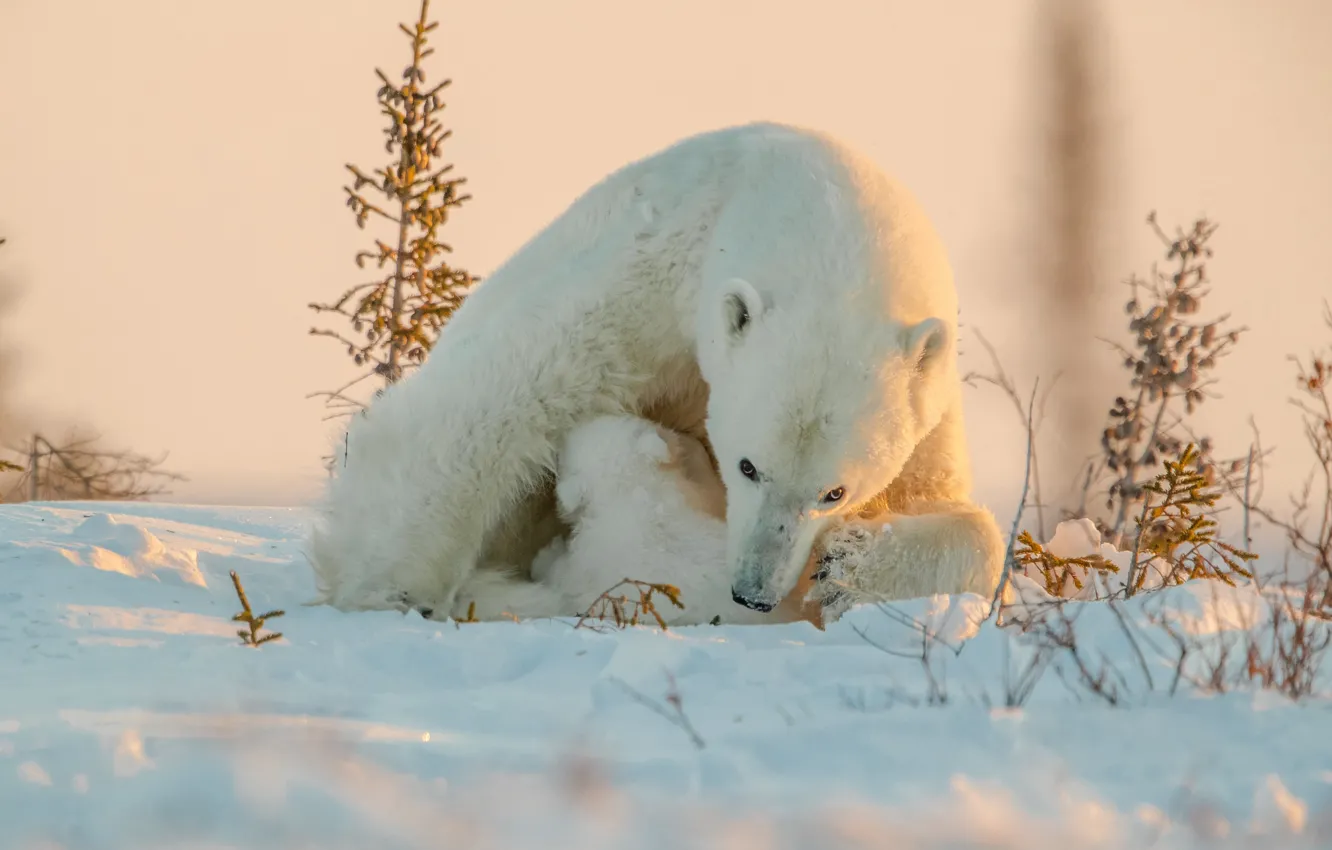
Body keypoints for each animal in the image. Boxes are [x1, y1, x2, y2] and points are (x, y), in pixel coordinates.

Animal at [306, 123, 1001, 623]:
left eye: (835, 492)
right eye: (748, 466)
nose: (752, 593)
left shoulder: (928, 400)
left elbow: (952, 510)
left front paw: (846, 568)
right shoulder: (640, 284)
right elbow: (493, 401)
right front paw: (393, 587)